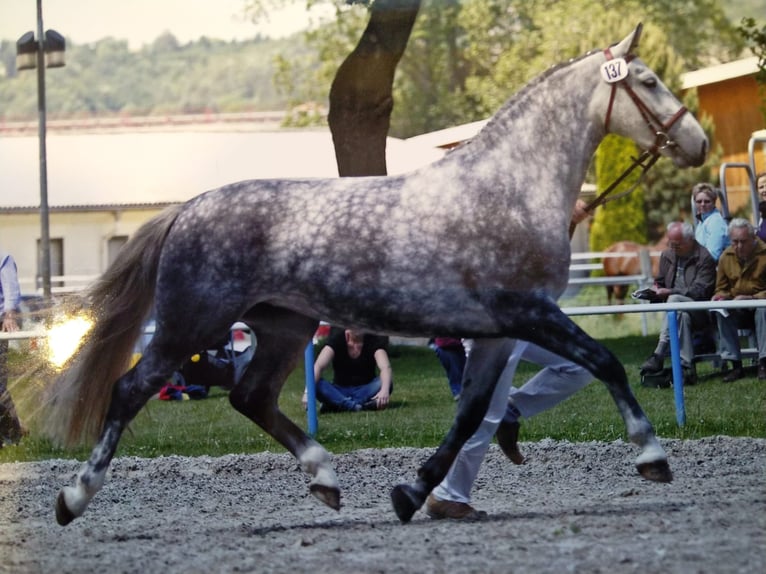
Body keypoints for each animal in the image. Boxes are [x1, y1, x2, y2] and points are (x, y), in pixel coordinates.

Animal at [46, 24, 708, 528]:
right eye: (648, 81)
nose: (697, 142)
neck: (509, 190)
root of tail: (187, 208)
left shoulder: (498, 333)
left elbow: (471, 412)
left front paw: (413, 493)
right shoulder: (529, 313)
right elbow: (605, 362)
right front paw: (652, 455)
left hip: (284, 327)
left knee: (249, 395)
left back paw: (325, 478)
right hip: (190, 324)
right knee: (130, 390)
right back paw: (73, 497)